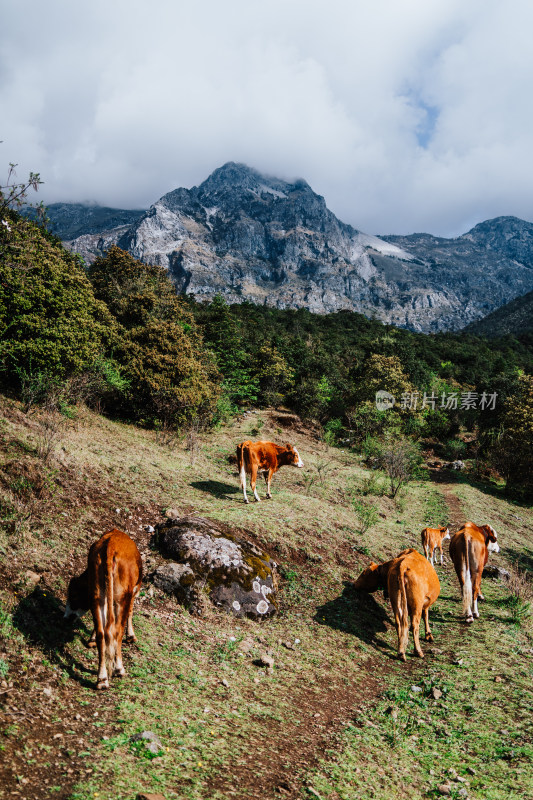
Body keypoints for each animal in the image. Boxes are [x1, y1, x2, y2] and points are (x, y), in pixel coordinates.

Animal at [64, 532, 142, 688]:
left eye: (73, 595)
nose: (66, 617)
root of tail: (110, 546)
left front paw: (91, 639)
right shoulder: (133, 590)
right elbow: (131, 611)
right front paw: (131, 636)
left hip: (97, 593)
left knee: (102, 632)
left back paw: (102, 679)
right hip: (121, 597)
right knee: (116, 631)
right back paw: (119, 668)